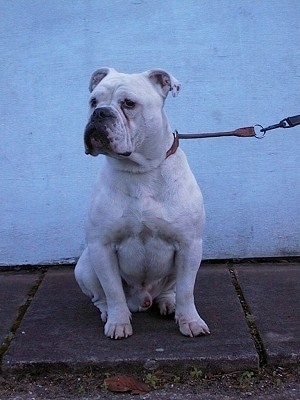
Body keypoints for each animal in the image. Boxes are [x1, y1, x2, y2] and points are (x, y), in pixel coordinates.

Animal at [75, 67, 209, 340]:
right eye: (93, 101)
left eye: (129, 103)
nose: (99, 113)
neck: (140, 170)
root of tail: (142, 300)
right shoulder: (102, 247)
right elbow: (113, 290)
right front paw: (118, 323)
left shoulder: (189, 246)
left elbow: (187, 290)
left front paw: (190, 321)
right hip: (86, 265)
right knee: (101, 297)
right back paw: (110, 312)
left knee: (172, 290)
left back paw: (168, 303)